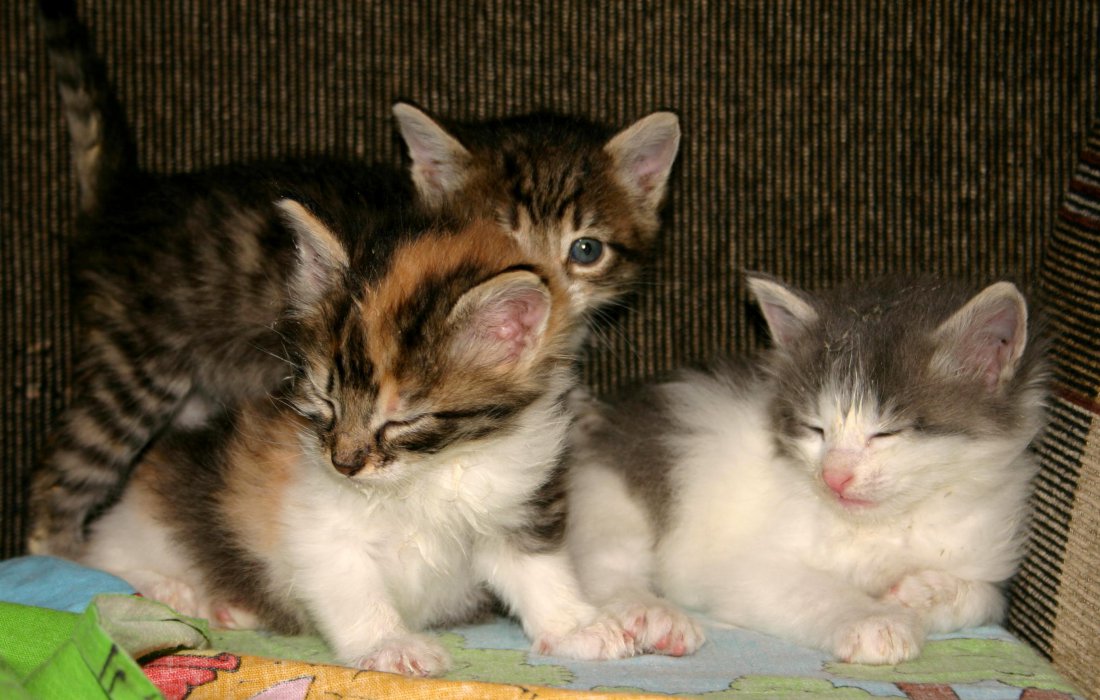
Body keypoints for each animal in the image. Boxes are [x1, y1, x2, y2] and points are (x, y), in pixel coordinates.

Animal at [29, 0, 681, 558]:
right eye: (497, 240)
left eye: (585, 250)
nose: (544, 285)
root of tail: (127, 197)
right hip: (137, 364)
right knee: (62, 475)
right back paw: (65, 560)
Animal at [80, 201, 641, 676]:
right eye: (326, 401)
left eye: (402, 420)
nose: (344, 464)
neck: (434, 470)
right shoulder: (318, 525)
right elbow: (354, 590)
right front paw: (389, 644)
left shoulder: (514, 504)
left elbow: (540, 572)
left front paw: (578, 626)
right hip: (147, 522)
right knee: (101, 561)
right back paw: (178, 593)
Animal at [565, 273, 1047, 664]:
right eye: (816, 428)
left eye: (886, 433)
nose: (835, 476)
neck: (887, 525)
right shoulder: (740, 566)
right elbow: (815, 589)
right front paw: (874, 620)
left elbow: (987, 598)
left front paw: (926, 592)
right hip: (617, 494)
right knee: (603, 565)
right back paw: (652, 614)